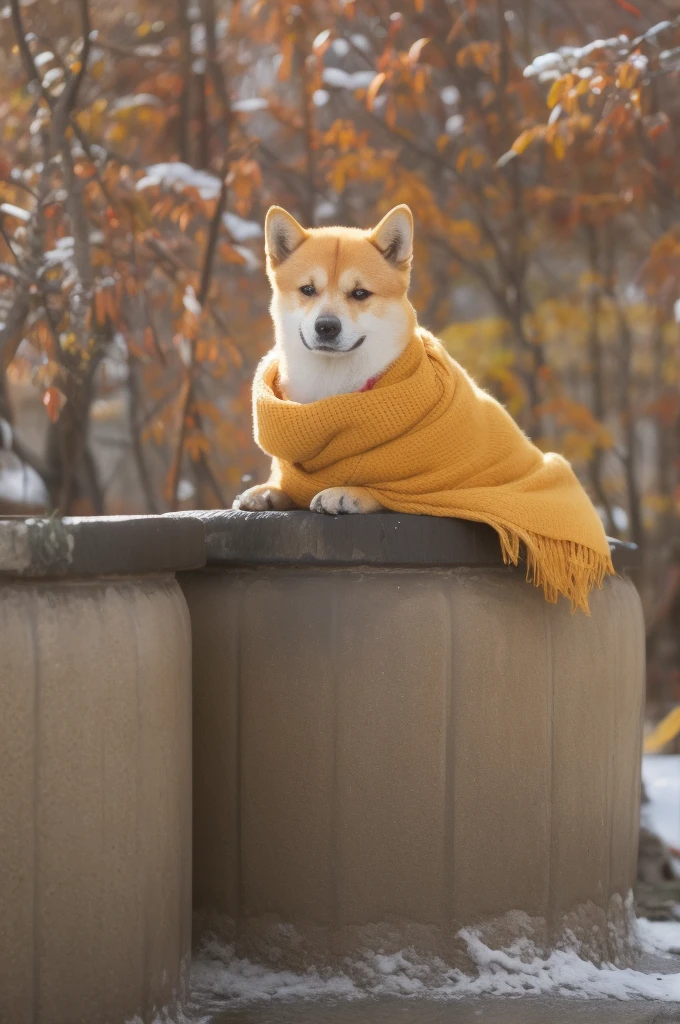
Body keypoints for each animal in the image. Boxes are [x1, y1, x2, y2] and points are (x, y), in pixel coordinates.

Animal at [233, 203, 413, 516]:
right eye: (307, 289)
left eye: (360, 293)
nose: (326, 327)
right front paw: (268, 490)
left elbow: (387, 493)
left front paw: (347, 493)